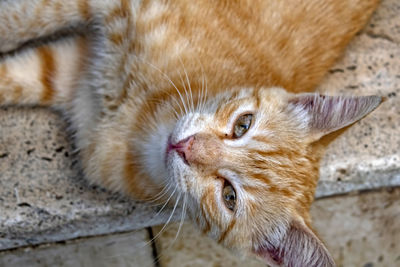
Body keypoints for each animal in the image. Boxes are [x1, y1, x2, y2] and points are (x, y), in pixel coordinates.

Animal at [0, 0, 382, 266]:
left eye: (229, 196)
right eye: (243, 124)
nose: (186, 146)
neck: (142, 121)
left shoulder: (69, 75)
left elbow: (18, 71)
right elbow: (22, 19)